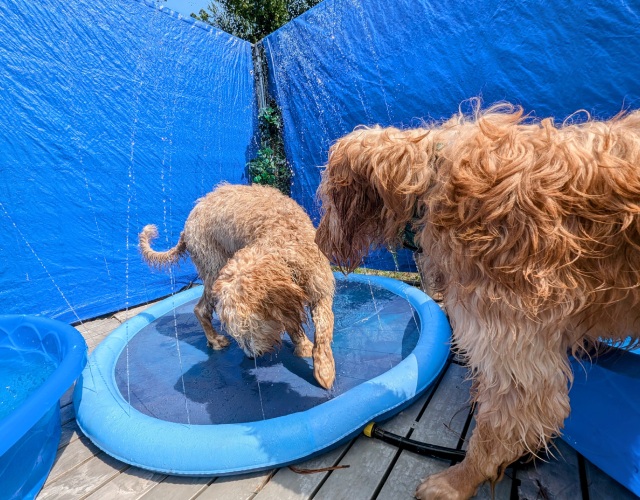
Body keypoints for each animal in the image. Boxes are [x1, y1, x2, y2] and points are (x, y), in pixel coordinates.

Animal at [138, 184, 338, 390]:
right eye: (239, 331)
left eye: (251, 327)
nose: (251, 357)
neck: (284, 244)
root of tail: (188, 224)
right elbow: (294, 323)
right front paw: (310, 353)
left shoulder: (319, 289)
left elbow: (323, 328)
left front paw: (322, 367)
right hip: (213, 267)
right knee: (200, 309)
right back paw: (215, 340)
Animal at [316, 103, 640, 498]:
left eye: (328, 197)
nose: (317, 242)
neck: (430, 181)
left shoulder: (513, 346)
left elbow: (497, 427)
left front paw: (458, 481)